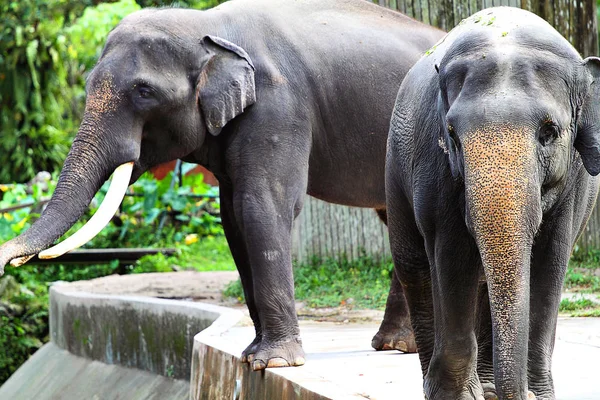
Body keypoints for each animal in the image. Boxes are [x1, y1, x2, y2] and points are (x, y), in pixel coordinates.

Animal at [0, 0, 442, 370]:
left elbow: (262, 204)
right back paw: (395, 346)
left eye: (144, 91)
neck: (208, 27)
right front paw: (251, 355)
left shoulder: (279, 106)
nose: (13, 262)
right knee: (395, 220)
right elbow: (232, 216)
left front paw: (274, 362)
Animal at [384, 6, 600, 400]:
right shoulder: (433, 165)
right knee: (415, 266)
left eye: (549, 132)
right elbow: (452, 255)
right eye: (451, 133)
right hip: (395, 165)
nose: (522, 394)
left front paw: (537, 396)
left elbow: (550, 261)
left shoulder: (576, 183)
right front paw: (456, 397)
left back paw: (488, 388)